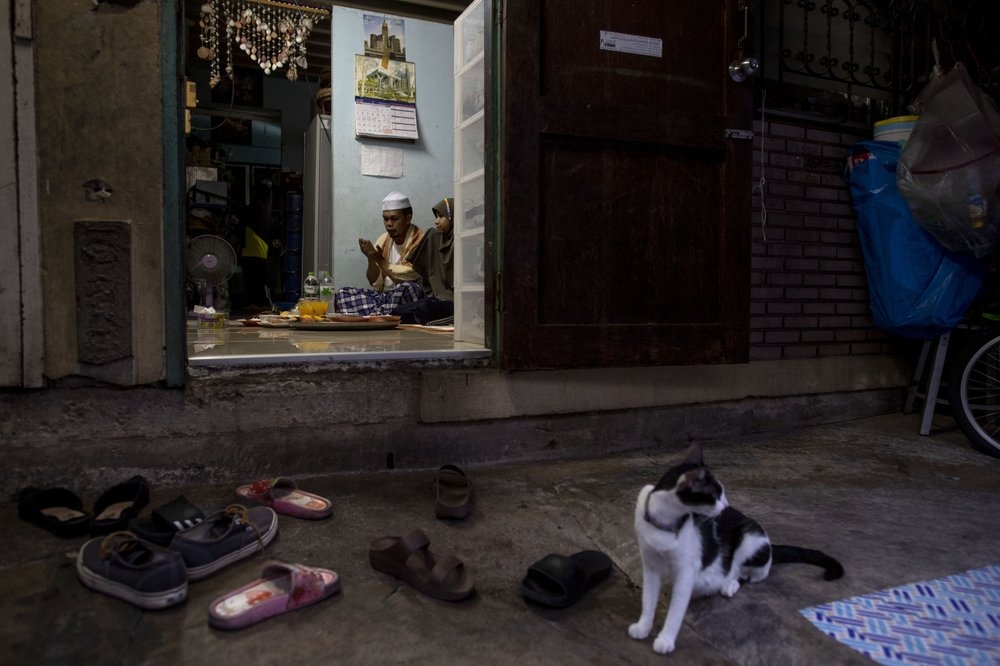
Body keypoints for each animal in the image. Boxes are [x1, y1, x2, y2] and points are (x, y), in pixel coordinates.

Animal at [628, 440, 840, 652]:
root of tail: (770, 544)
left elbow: (676, 609)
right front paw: (643, 626)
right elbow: (648, 600)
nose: (726, 506)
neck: (664, 525)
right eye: (715, 495)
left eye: (722, 494)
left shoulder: (686, 572)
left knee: (748, 573)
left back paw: (728, 584)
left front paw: (666, 639)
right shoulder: (651, 567)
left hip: (750, 537)